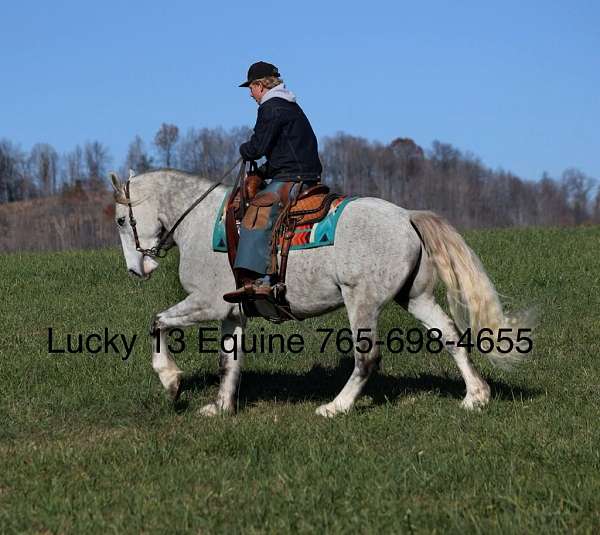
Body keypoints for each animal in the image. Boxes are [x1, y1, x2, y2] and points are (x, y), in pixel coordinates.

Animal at [110, 170, 532, 416]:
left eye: (120, 220)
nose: (136, 269)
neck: (199, 223)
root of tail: (407, 216)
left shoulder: (207, 304)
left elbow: (158, 322)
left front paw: (171, 381)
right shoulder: (233, 314)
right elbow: (229, 363)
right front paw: (220, 407)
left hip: (361, 302)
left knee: (368, 359)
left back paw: (336, 407)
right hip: (417, 298)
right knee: (450, 337)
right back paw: (475, 396)